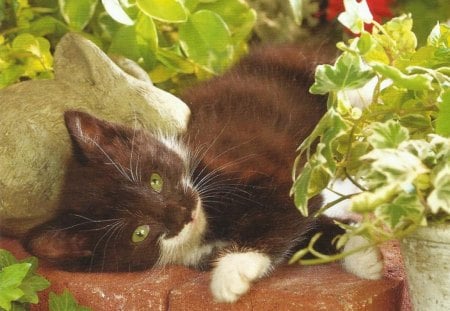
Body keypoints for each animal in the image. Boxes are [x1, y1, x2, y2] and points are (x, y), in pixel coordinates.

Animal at [23, 43, 384, 302]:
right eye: (139, 232)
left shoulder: (276, 178)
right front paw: (364, 255)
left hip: (335, 84)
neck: (208, 225)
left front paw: (230, 273)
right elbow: (302, 233)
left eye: (155, 180)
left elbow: (279, 219)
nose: (182, 212)